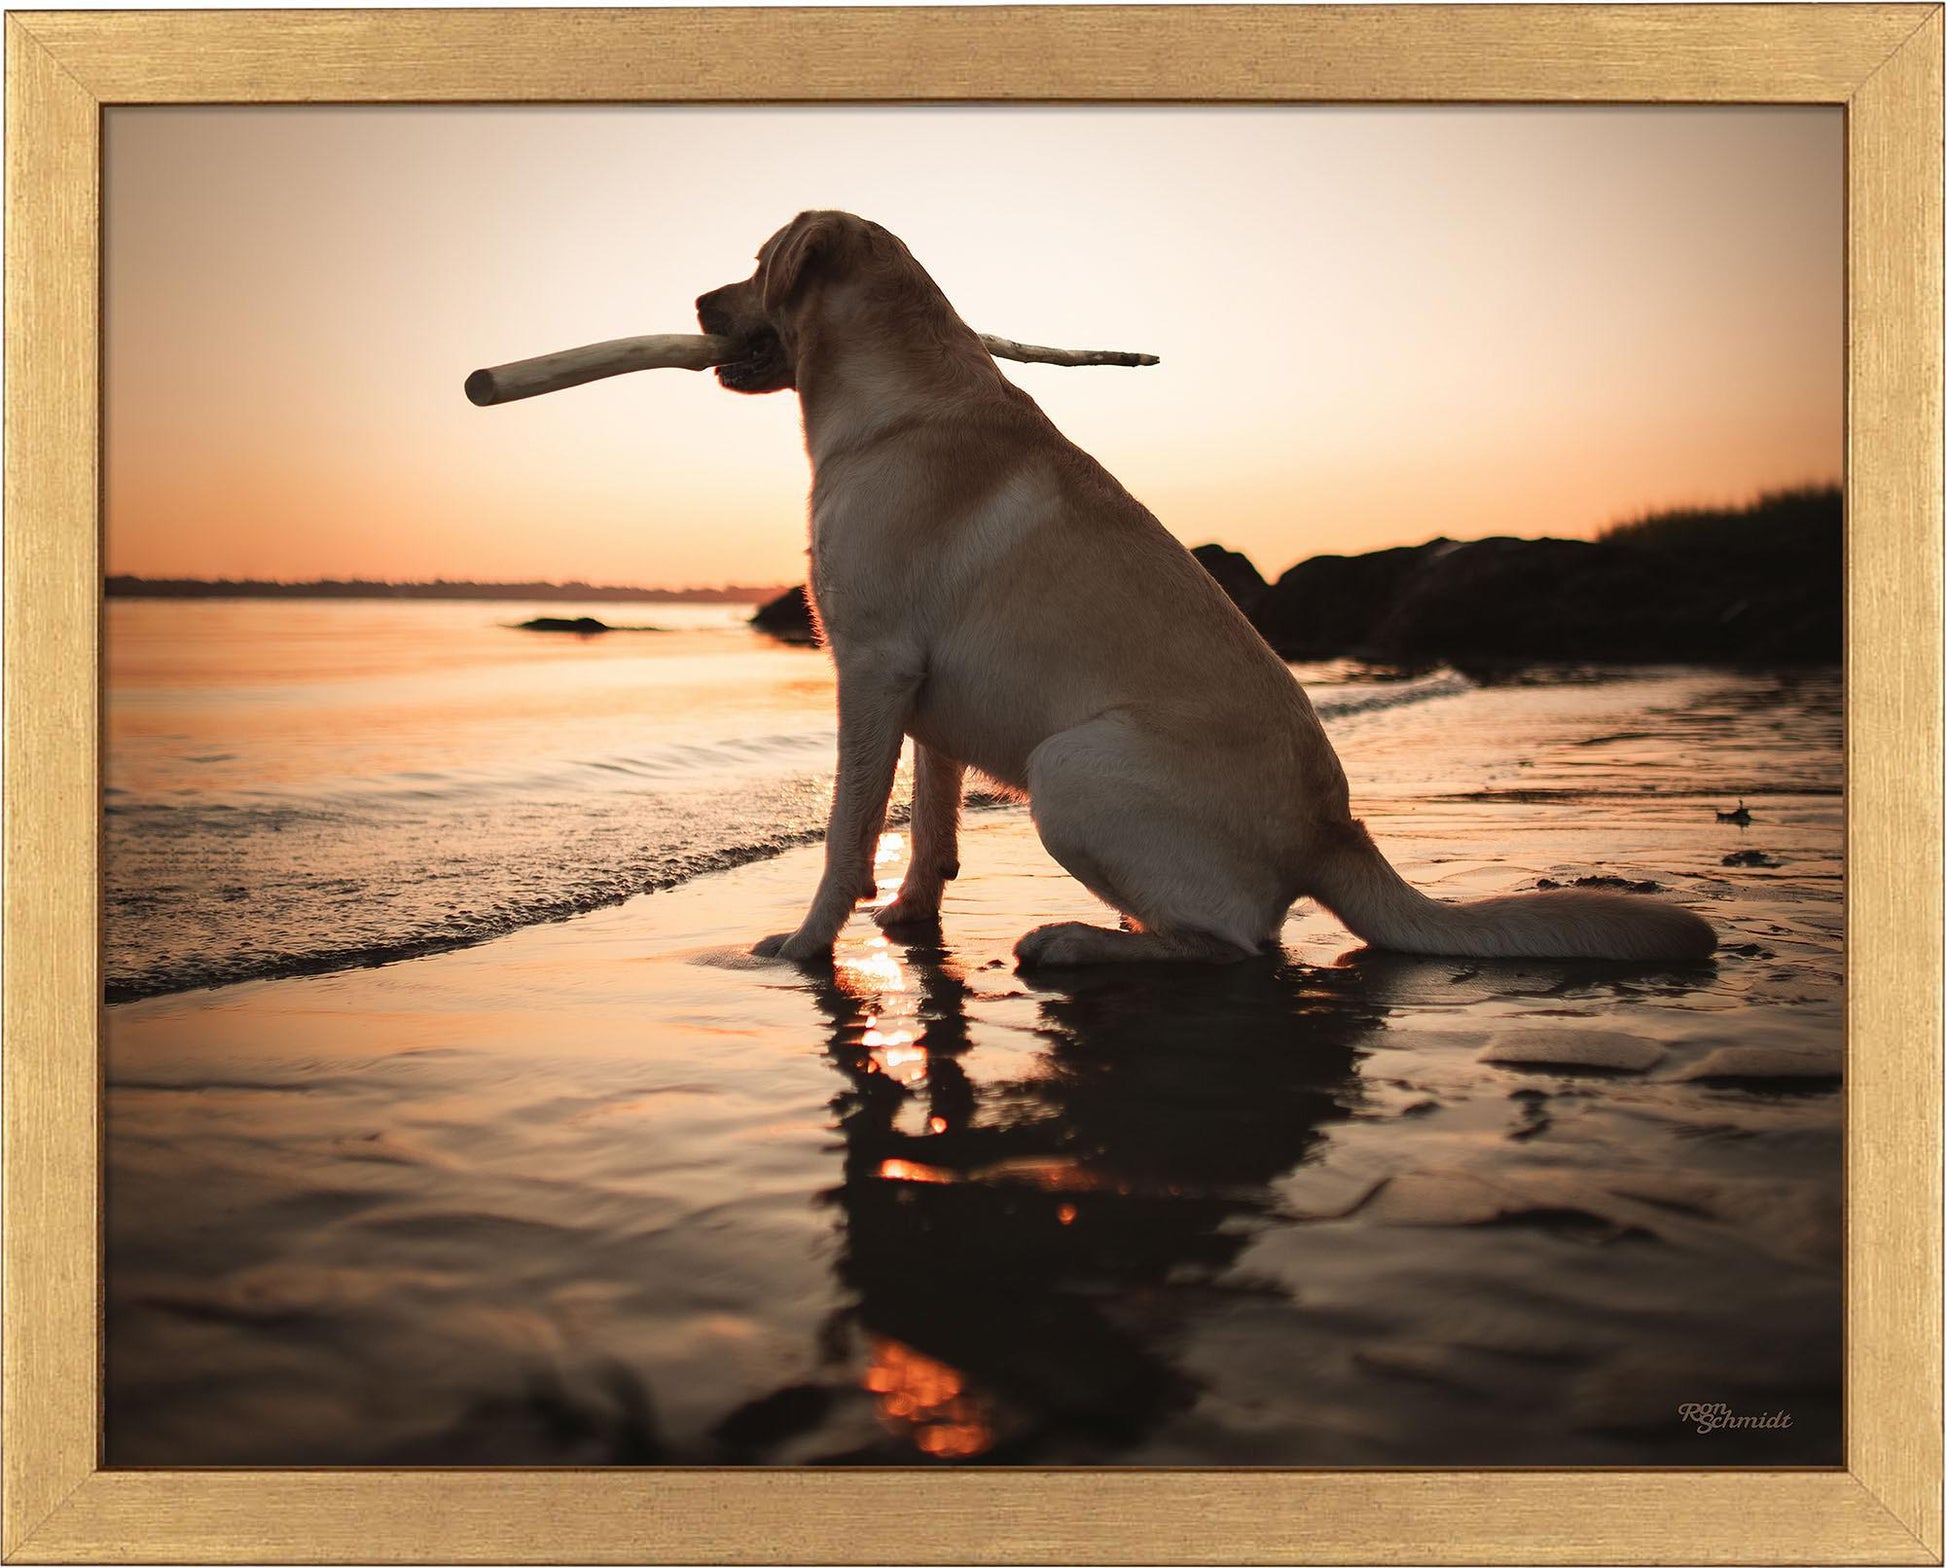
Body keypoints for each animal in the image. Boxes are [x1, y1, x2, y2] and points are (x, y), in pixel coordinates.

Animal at [704, 209, 1720, 968]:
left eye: (757, 266)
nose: (699, 300)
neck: (896, 394)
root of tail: (1335, 833)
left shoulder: (872, 667)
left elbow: (848, 832)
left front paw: (805, 944)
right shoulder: (922, 691)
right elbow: (929, 825)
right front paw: (910, 919)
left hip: (1067, 764)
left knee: (1235, 944)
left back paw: (1078, 940)